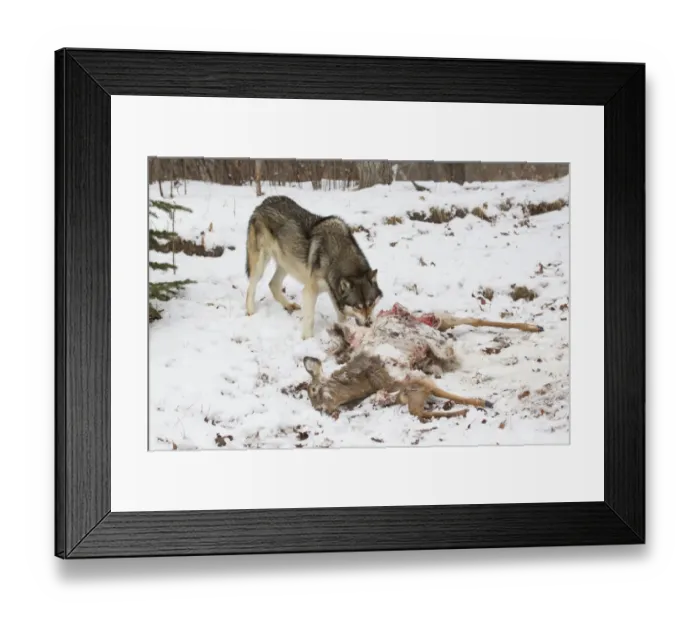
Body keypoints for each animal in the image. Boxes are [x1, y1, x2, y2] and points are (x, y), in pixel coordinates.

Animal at [245, 195, 383, 339]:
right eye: (357, 307)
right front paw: (307, 339)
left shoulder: (332, 290)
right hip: (261, 264)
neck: (338, 255)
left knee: (273, 284)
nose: (368, 324)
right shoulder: (310, 291)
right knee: (251, 288)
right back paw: (251, 312)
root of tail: (262, 203)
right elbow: (310, 318)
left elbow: (342, 316)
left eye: (371, 304)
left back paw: (289, 305)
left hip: (286, 263)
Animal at [302, 303, 543, 421]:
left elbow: (438, 391)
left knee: (473, 319)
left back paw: (535, 326)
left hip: (438, 323)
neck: (367, 380)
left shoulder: (410, 375)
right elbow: (420, 406)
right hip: (439, 325)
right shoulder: (406, 384)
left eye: (314, 391)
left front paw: (483, 402)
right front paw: (474, 406)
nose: (325, 411)